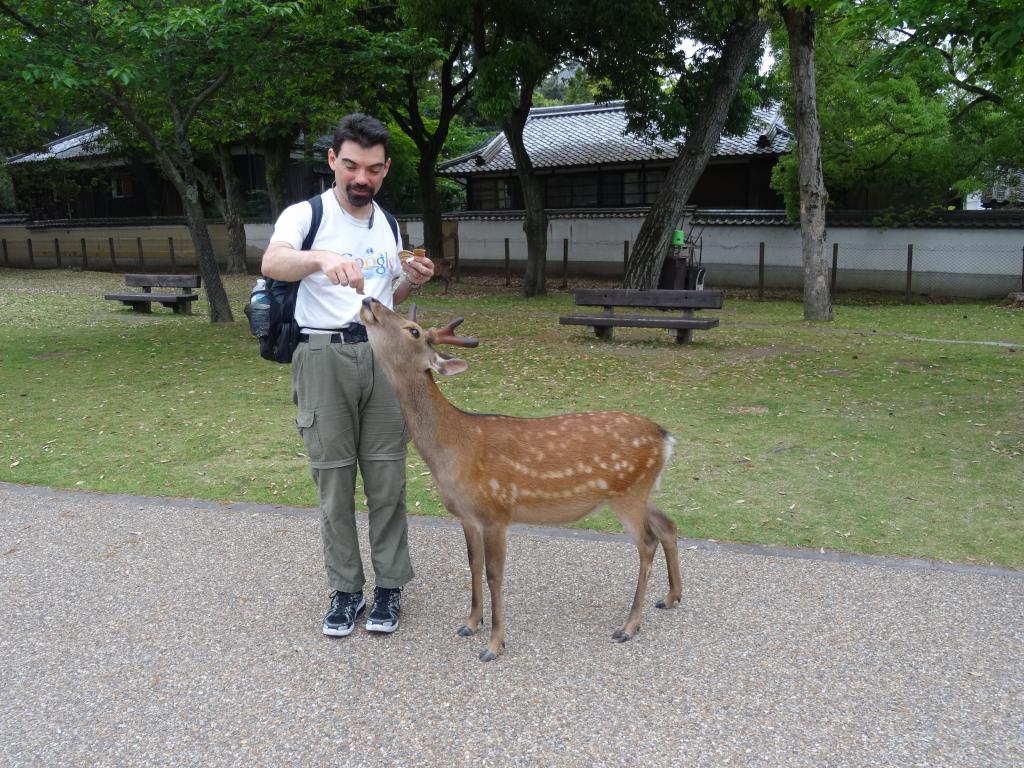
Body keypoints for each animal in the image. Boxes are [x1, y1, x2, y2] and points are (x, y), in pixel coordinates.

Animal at [360, 296, 679, 663]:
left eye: (412, 330)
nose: (369, 300)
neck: (455, 446)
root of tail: (665, 438)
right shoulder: (467, 516)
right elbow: (473, 564)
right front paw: (471, 623)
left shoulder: (497, 511)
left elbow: (494, 574)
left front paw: (494, 645)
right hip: (638, 491)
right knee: (667, 525)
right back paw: (671, 597)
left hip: (629, 492)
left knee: (647, 542)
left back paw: (628, 626)